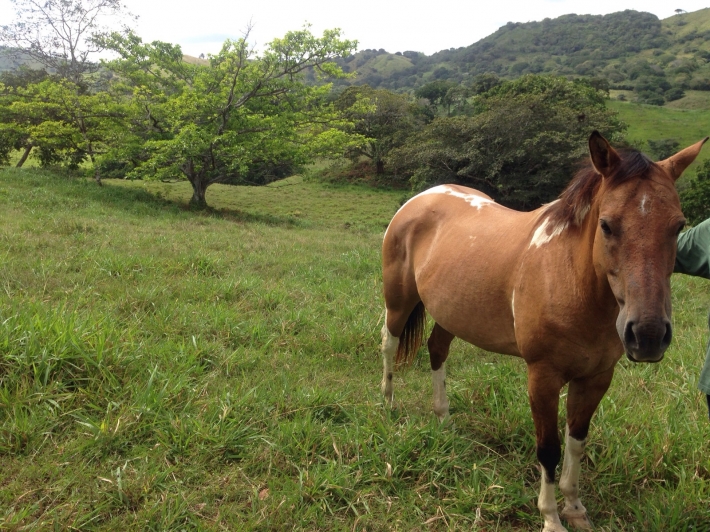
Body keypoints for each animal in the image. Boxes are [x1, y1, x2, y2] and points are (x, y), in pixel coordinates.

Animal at [379, 131, 706, 532]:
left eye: (678, 226)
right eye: (607, 225)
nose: (647, 335)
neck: (571, 280)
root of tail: (422, 197)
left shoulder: (596, 378)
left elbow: (576, 442)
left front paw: (575, 508)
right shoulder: (543, 377)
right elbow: (549, 448)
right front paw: (550, 517)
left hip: (451, 312)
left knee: (437, 349)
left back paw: (443, 419)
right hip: (398, 302)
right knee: (389, 343)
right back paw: (388, 403)